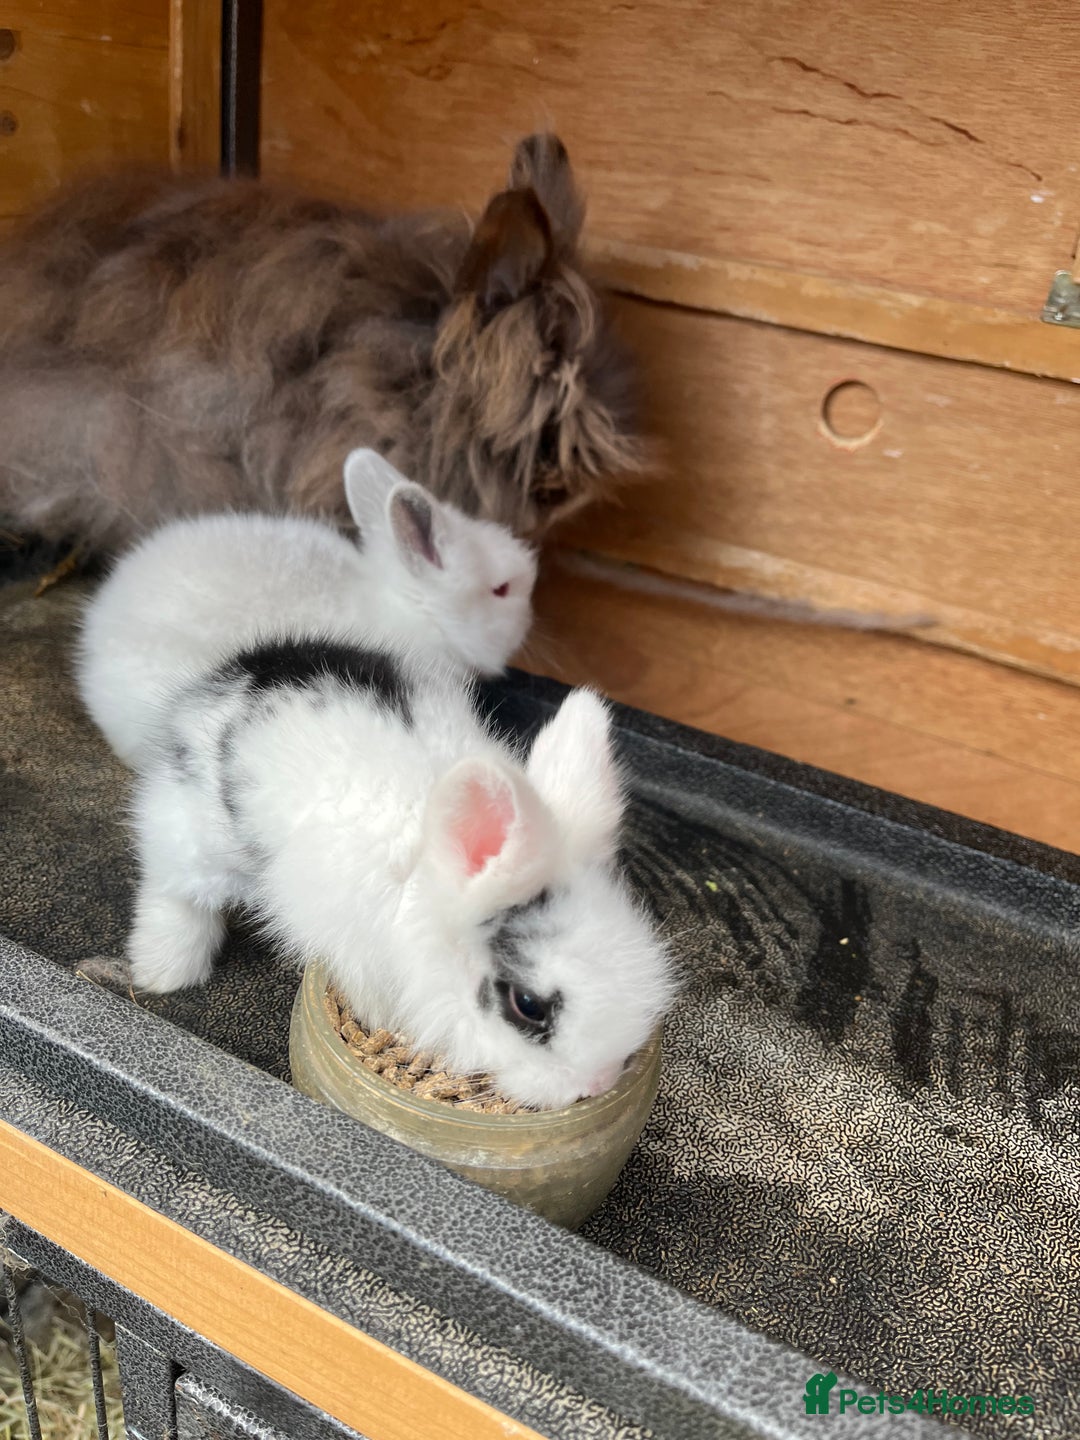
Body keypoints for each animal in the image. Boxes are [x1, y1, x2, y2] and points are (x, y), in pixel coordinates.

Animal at [122, 634, 675, 1110]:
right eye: (528, 1005)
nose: (597, 1083)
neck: (424, 879)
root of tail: (241, 666)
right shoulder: (355, 947)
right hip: (193, 838)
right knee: (171, 891)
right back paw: (164, 973)